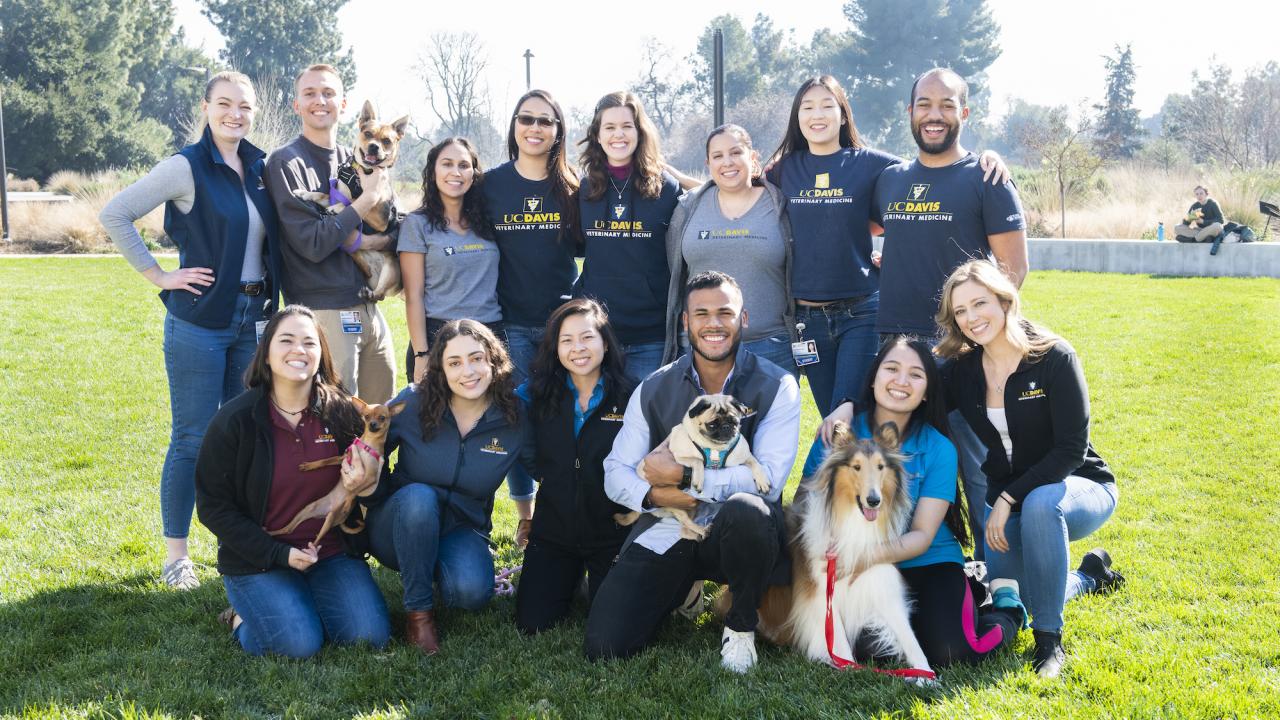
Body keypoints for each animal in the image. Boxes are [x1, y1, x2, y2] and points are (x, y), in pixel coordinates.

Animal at [293, 99, 404, 298]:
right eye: (368, 134)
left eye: (386, 141)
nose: (374, 146)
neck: (362, 175)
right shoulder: (336, 195)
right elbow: (324, 195)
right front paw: (304, 193)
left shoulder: (380, 220)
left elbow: (354, 204)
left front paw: (337, 208)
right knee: (361, 262)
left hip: (391, 267)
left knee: (381, 294)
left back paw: (371, 293)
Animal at [611, 392, 762, 538]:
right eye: (712, 425)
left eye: (734, 422)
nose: (726, 427)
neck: (716, 448)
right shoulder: (679, 456)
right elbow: (698, 461)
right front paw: (698, 479)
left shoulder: (744, 455)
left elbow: (755, 462)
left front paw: (763, 481)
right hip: (676, 507)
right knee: (686, 523)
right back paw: (702, 530)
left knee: (684, 530)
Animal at [752, 420, 936, 676]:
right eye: (856, 467)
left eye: (880, 466)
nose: (873, 500)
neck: (855, 522)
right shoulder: (822, 593)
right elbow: (838, 641)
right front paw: (849, 668)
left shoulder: (882, 585)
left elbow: (909, 637)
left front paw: (926, 674)